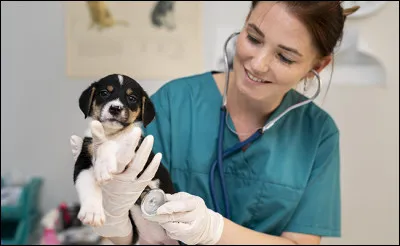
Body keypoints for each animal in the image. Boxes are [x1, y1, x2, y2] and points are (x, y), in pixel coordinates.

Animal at [71, 73, 177, 244]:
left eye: (132, 98)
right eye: (104, 93)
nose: (115, 108)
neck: (110, 133)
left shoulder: (135, 152)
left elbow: (113, 144)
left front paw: (104, 165)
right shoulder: (84, 160)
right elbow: (86, 184)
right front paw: (92, 212)